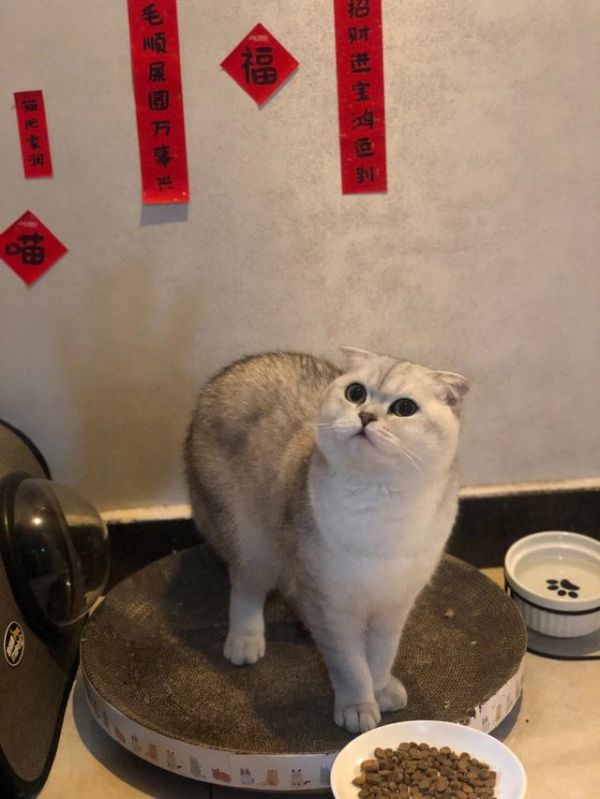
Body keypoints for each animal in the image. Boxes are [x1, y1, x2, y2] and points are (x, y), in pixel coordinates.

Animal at [184, 348, 468, 734]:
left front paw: (381, 689)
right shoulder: (330, 603)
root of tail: (230, 371)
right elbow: (350, 665)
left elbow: (380, 657)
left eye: (404, 408)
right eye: (356, 393)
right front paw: (358, 706)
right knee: (247, 588)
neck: (378, 504)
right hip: (250, 539)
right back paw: (245, 639)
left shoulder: (394, 605)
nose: (365, 416)